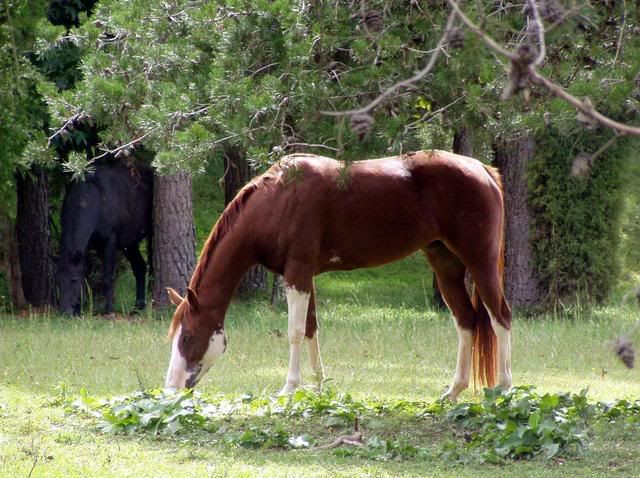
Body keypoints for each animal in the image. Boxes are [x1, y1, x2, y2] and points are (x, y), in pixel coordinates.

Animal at [57, 162, 153, 316]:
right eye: (58, 281)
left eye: (73, 280)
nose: (64, 311)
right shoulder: (89, 245)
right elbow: (86, 275)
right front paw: (80, 308)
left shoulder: (110, 239)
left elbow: (107, 277)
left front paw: (109, 309)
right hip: (129, 243)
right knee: (140, 266)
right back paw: (138, 307)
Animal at [166, 151, 516, 402]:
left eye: (188, 337)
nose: (171, 387)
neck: (280, 198)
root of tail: (482, 169)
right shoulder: (304, 275)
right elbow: (311, 329)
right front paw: (320, 387)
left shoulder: (297, 272)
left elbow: (295, 332)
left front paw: (289, 388)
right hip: (446, 265)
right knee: (466, 321)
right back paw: (453, 391)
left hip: (480, 262)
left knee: (500, 318)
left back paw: (504, 388)